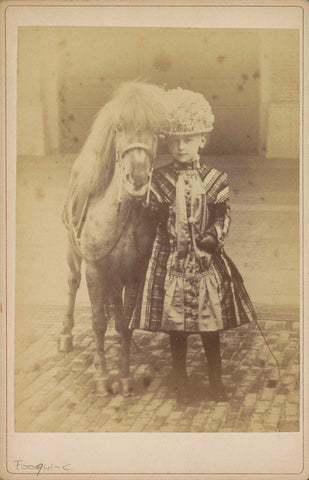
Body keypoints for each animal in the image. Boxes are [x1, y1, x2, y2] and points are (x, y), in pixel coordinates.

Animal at [59, 82, 166, 396]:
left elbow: (125, 324)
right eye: (119, 128)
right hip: (73, 253)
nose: (138, 178)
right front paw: (103, 377)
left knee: (116, 307)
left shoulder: (134, 273)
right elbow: (97, 322)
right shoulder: (96, 270)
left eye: (156, 130)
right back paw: (65, 334)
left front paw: (126, 376)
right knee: (72, 283)